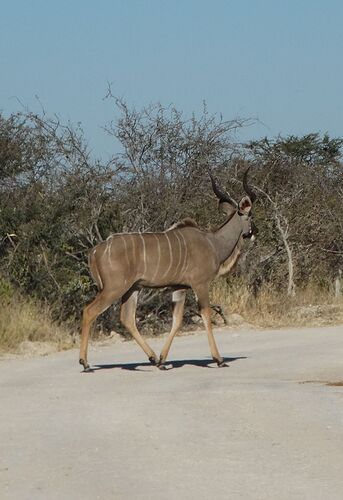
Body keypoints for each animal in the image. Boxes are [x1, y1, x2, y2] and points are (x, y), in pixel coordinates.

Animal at [79, 170, 256, 370]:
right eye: (251, 216)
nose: (254, 231)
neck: (213, 243)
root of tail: (95, 251)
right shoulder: (200, 284)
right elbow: (205, 315)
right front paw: (219, 359)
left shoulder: (179, 287)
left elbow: (177, 320)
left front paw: (163, 360)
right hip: (113, 288)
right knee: (89, 311)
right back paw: (85, 363)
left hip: (132, 288)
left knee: (127, 318)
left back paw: (153, 358)